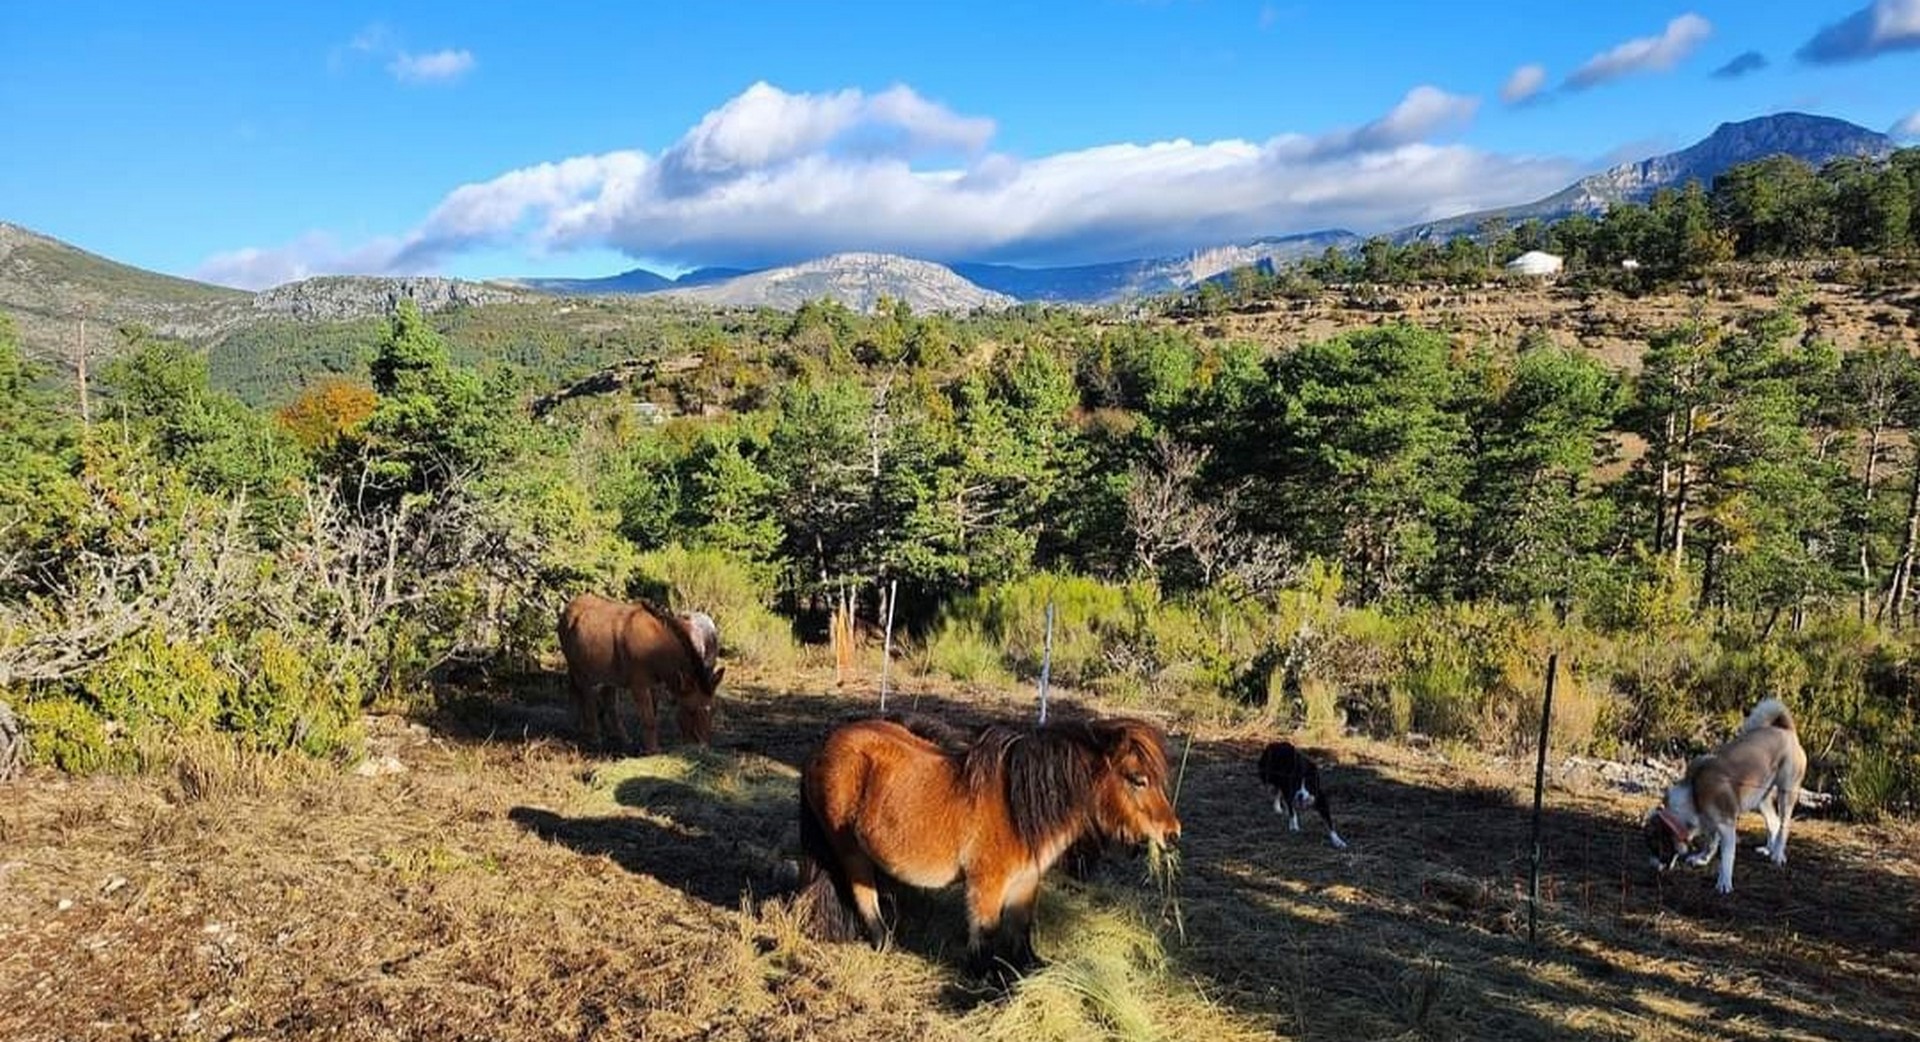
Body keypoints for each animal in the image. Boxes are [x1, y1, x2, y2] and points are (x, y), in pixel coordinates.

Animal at [564, 591, 729, 756]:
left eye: (713, 711)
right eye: (691, 710)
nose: (702, 748)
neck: (656, 648)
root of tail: (568, 608)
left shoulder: (655, 685)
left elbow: (653, 714)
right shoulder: (639, 685)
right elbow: (649, 718)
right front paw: (652, 750)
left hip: (608, 674)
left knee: (606, 701)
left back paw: (617, 736)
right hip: (578, 669)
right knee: (586, 697)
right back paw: (593, 735)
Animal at [791, 713, 1175, 974]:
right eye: (1137, 780)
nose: (1172, 834)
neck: (1016, 807)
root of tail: (822, 746)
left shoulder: (1025, 882)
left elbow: (1021, 929)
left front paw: (1026, 969)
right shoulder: (986, 884)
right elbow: (985, 932)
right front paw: (983, 974)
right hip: (849, 850)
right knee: (863, 893)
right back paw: (884, 940)